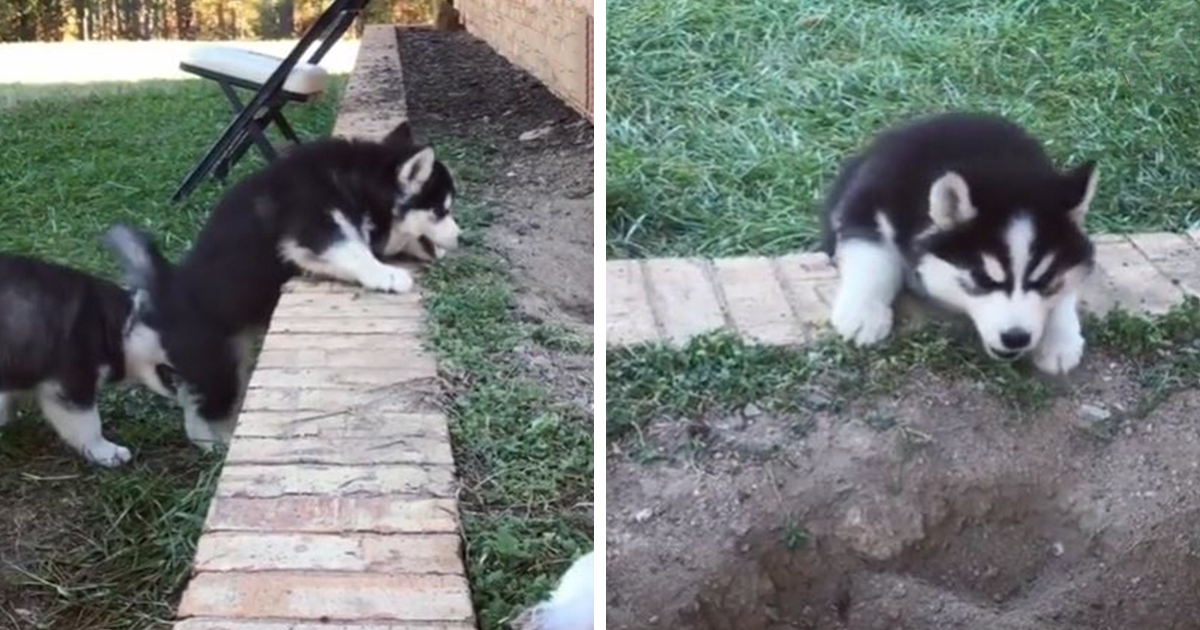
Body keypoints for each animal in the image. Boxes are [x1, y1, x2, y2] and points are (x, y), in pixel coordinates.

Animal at [104, 120, 458, 448]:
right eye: (441, 210)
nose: (462, 237)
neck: (357, 185)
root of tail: (167, 285)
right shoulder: (312, 225)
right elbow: (352, 248)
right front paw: (387, 274)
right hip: (219, 366)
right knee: (204, 413)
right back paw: (221, 444)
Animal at [825, 111, 1099, 374]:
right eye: (983, 280)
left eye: (1045, 280)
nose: (1016, 338)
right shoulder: (869, 201)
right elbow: (873, 255)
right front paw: (863, 313)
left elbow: (1067, 287)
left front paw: (1059, 338)